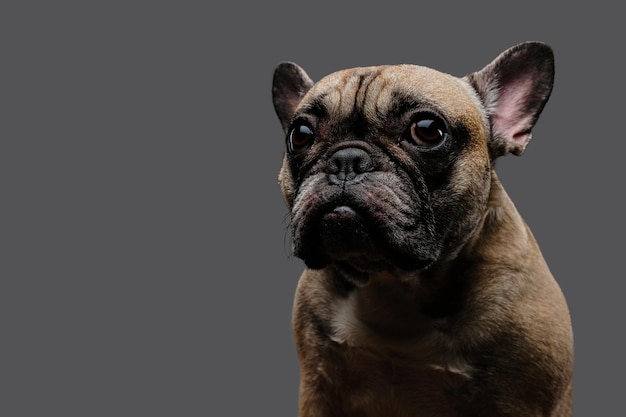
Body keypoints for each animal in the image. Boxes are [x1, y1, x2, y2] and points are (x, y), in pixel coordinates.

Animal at [270, 40, 572, 414]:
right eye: (300, 135)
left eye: (427, 130)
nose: (346, 159)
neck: (395, 286)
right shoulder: (318, 388)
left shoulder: (522, 400)